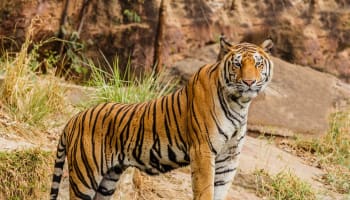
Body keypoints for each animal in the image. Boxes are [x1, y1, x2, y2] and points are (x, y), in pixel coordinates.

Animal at [49, 36, 274, 200]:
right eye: (237, 64)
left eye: (258, 64)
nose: (249, 82)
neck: (240, 103)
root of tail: (74, 119)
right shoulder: (202, 150)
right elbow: (205, 190)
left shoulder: (230, 156)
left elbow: (220, 189)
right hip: (85, 177)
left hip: (108, 180)